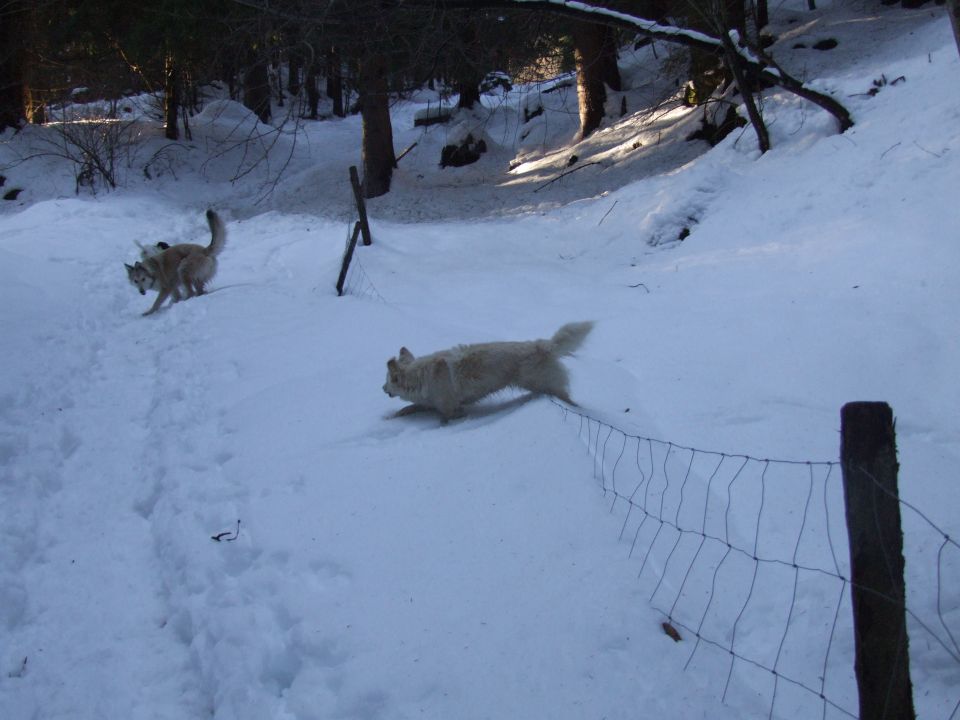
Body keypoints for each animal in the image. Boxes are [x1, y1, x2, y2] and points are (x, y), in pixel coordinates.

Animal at [382, 322, 592, 422]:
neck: (420, 376)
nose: (382, 388)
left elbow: (445, 419)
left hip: (547, 384)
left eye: (388, 381)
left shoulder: (450, 408)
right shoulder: (431, 402)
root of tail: (543, 345)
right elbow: (408, 408)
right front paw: (391, 416)